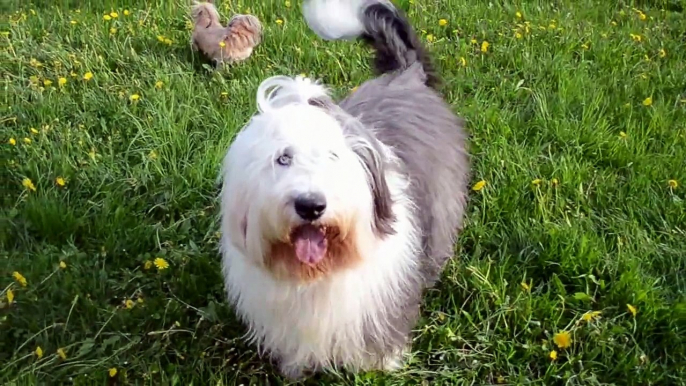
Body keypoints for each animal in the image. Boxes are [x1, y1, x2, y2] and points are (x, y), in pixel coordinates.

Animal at [218, 0, 470, 380]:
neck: (320, 273)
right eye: (283, 158)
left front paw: (381, 365)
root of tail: (405, 74)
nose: (311, 206)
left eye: (333, 156)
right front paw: (294, 368)